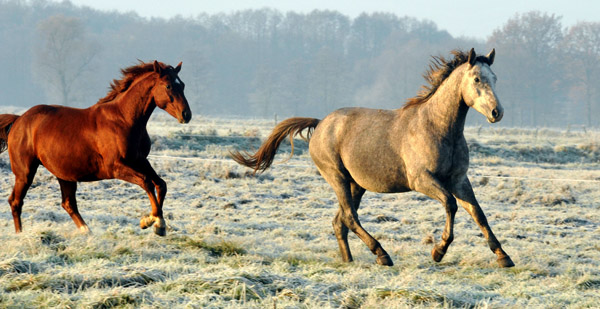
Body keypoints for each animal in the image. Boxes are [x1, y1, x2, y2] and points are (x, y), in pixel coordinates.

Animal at [0, 60, 191, 235]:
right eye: (168, 85)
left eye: (182, 85)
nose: (186, 115)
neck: (124, 120)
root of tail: (19, 120)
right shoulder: (116, 167)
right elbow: (146, 182)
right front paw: (152, 222)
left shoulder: (140, 161)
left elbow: (161, 184)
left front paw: (157, 222)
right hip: (25, 173)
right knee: (16, 201)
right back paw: (20, 235)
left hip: (64, 174)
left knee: (68, 204)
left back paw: (87, 232)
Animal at [232, 48, 512, 268]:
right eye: (477, 78)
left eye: (496, 78)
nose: (497, 112)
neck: (437, 127)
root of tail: (321, 123)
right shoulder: (422, 180)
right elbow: (451, 205)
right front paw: (438, 251)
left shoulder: (458, 179)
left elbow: (478, 213)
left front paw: (503, 257)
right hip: (337, 177)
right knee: (349, 217)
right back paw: (382, 254)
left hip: (356, 184)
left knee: (339, 221)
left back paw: (349, 260)